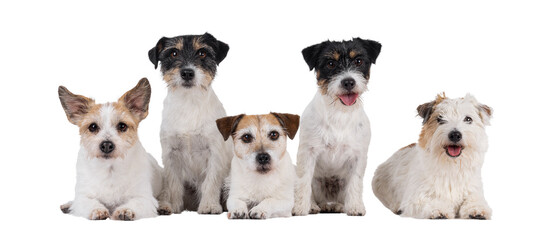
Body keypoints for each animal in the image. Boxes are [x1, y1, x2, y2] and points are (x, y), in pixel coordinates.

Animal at [58, 78, 162, 219]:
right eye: (93, 127)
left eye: (122, 126)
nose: (106, 144)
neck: (110, 169)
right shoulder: (83, 197)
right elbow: (88, 202)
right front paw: (97, 210)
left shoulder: (145, 198)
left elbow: (136, 203)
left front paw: (126, 210)